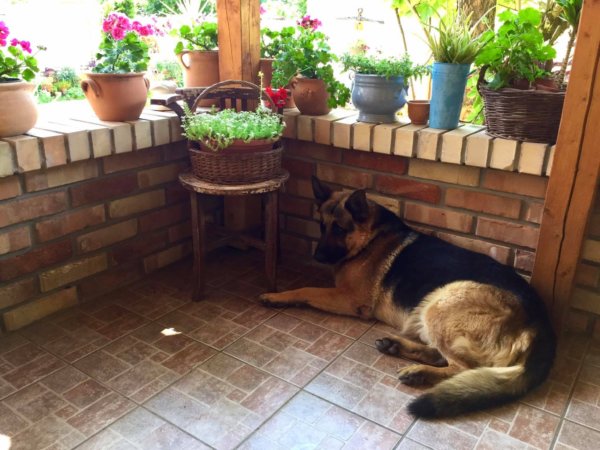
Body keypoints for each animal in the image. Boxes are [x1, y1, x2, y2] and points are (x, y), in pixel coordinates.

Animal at [260, 176, 556, 419]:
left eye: (341, 229)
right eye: (321, 226)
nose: (318, 256)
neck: (371, 237)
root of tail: (541, 324)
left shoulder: (351, 300)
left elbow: (307, 290)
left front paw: (277, 295)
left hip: (440, 303)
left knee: (463, 367)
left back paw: (419, 373)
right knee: (444, 357)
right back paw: (396, 347)